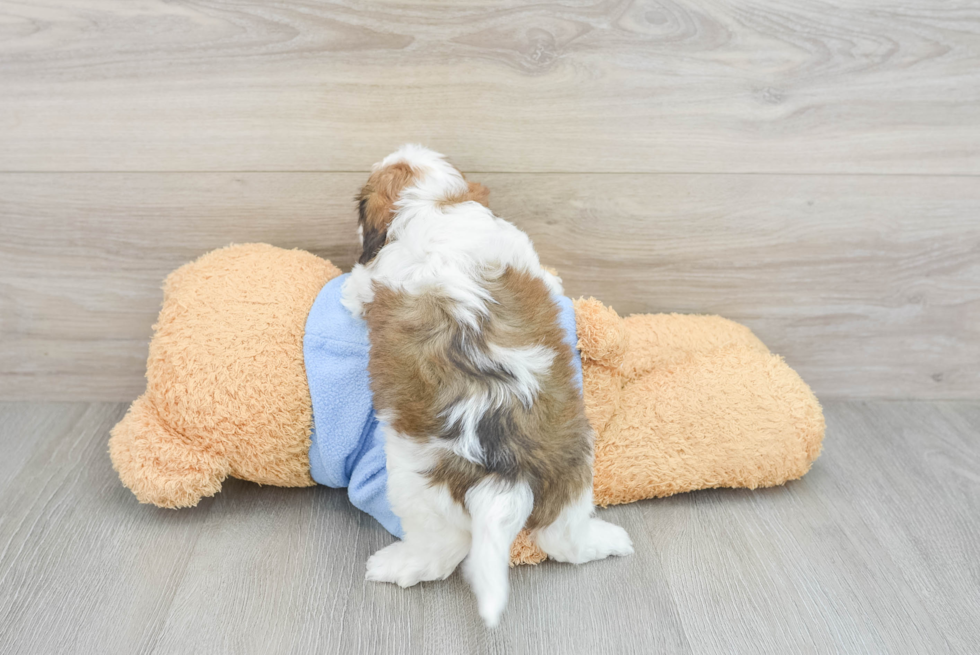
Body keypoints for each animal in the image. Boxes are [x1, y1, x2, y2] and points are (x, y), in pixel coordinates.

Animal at [340, 146, 632, 628]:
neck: (437, 204)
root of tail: (507, 472)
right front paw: (555, 280)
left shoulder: (378, 275)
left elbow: (359, 284)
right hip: (572, 461)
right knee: (561, 535)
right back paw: (605, 541)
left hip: (416, 486)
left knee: (445, 548)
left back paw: (394, 565)